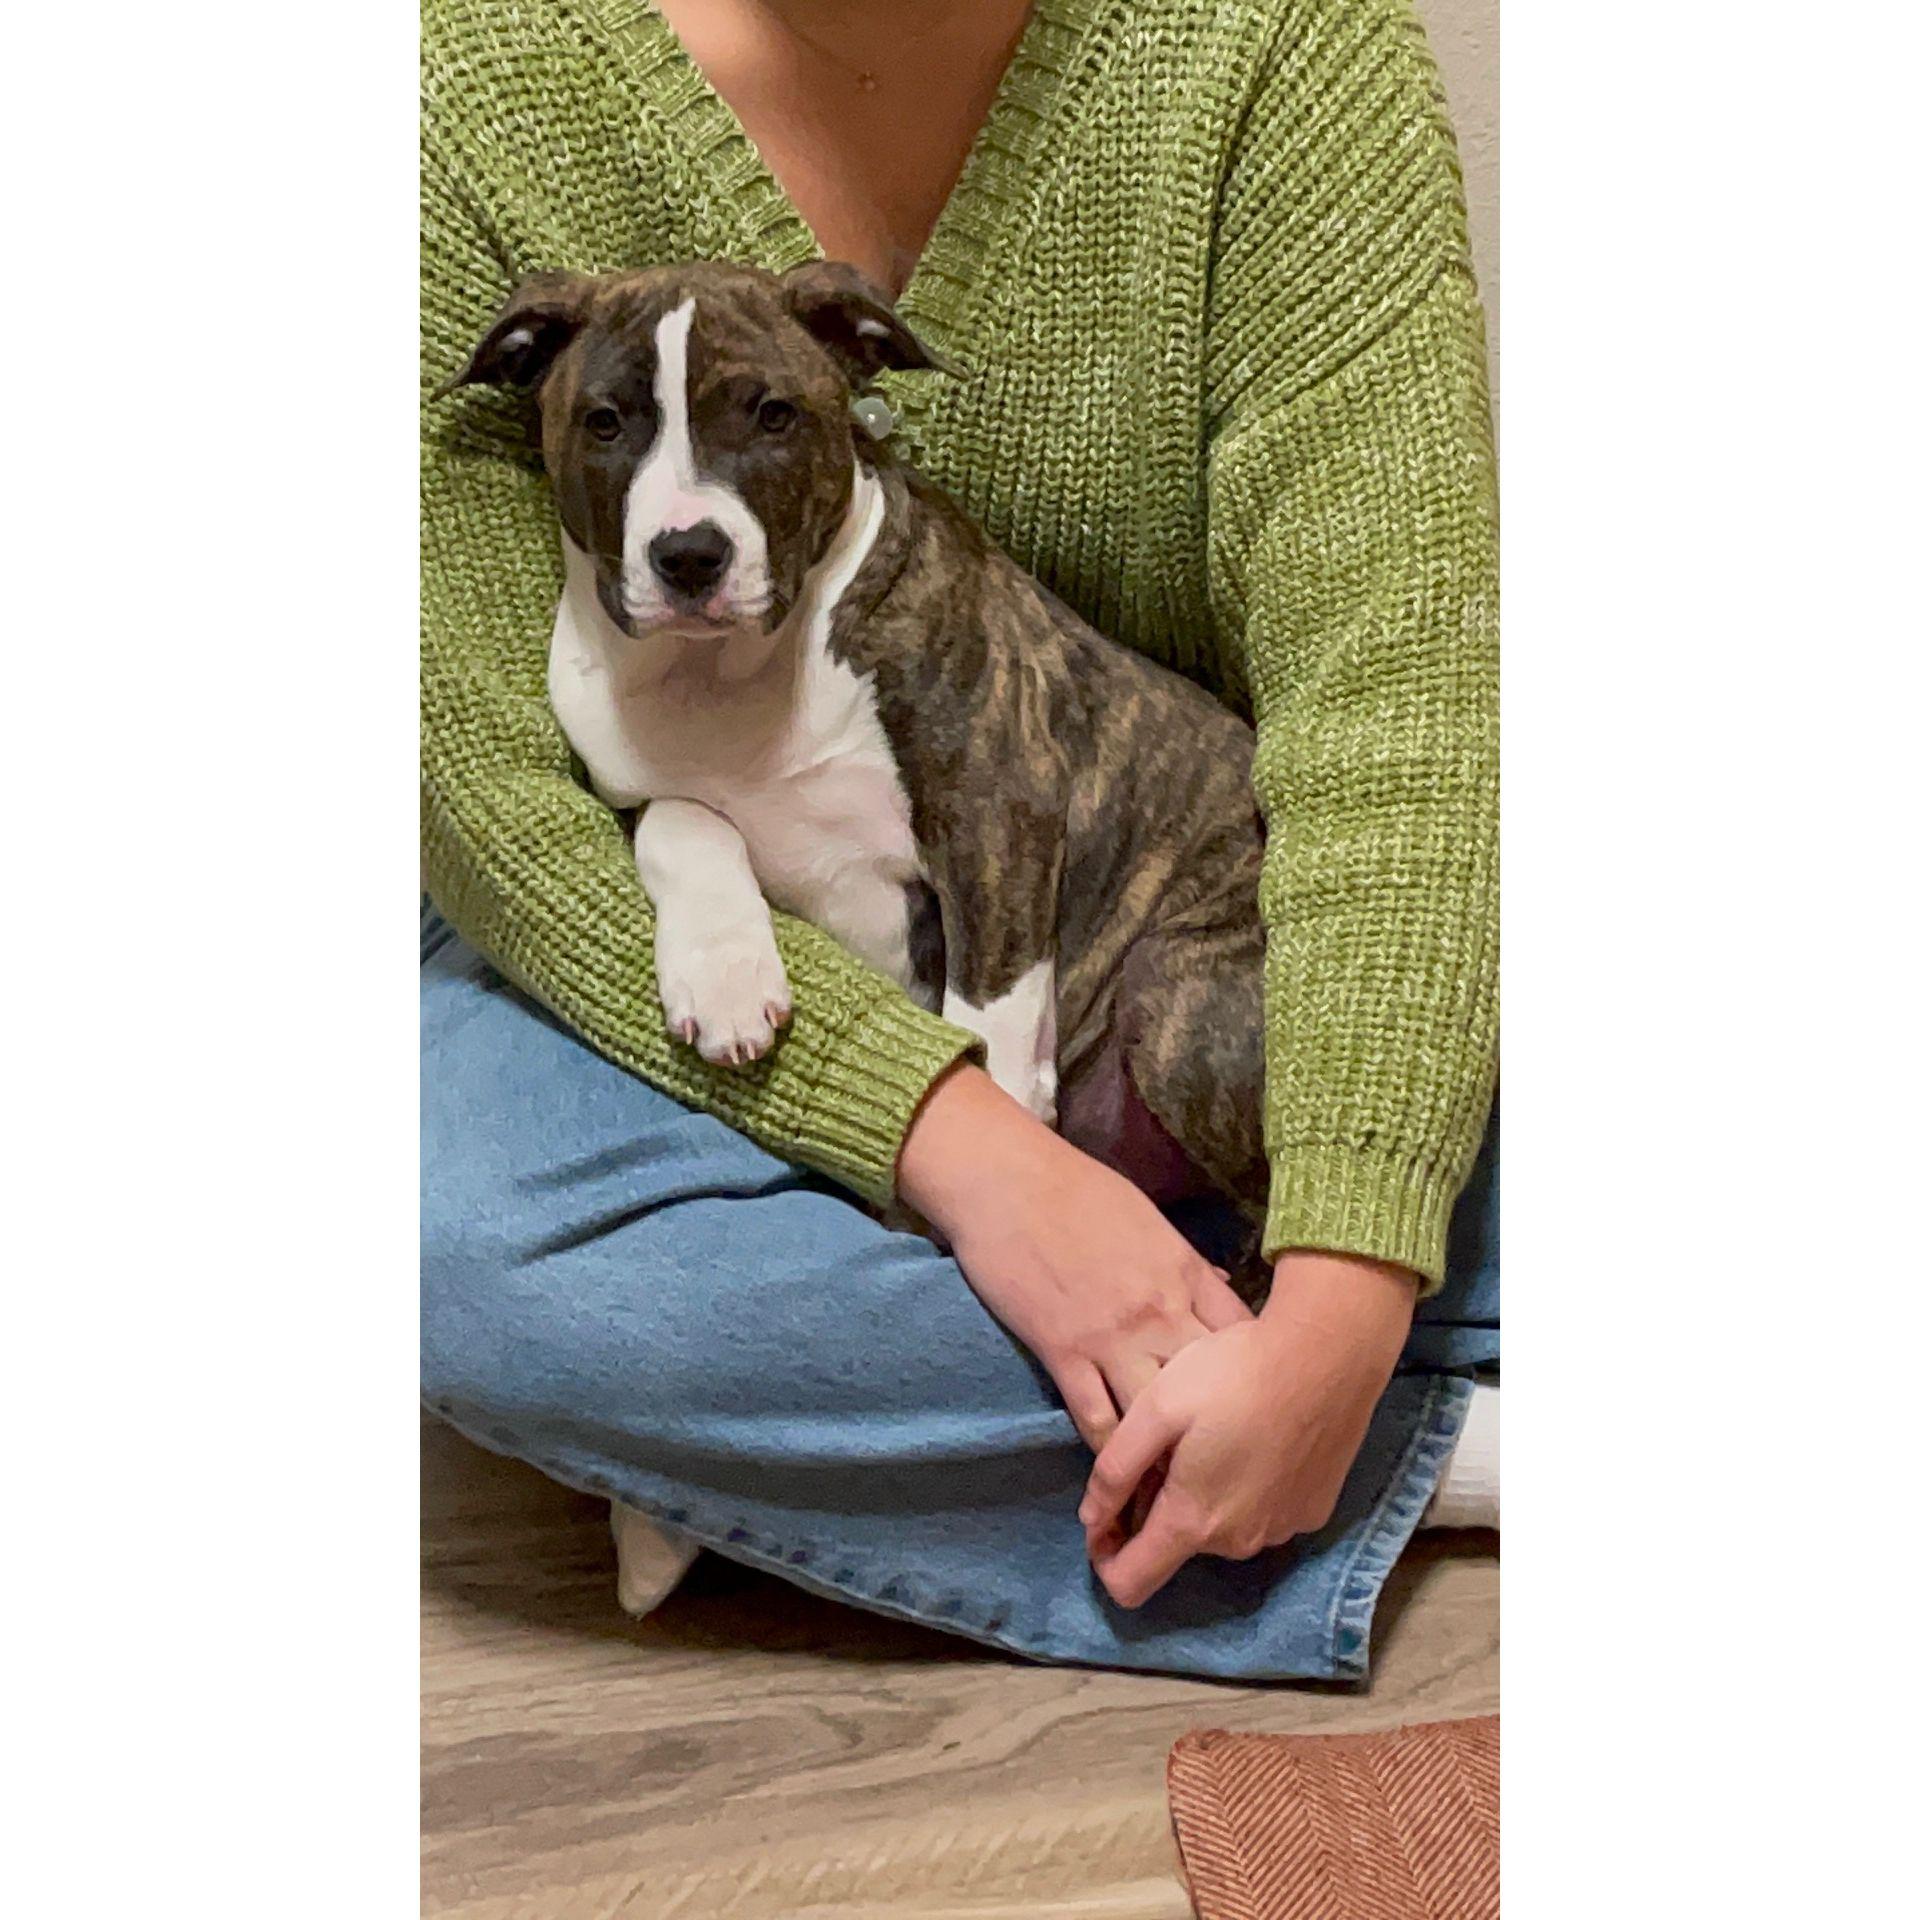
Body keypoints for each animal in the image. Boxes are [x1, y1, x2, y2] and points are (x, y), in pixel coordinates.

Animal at [445, 260, 1269, 1224]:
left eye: (773, 414)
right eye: (604, 422)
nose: (689, 555)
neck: (725, 672)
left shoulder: (1001, 809)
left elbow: (991, 1013)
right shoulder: (624, 789)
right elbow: (684, 822)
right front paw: (725, 975)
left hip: (1174, 990)